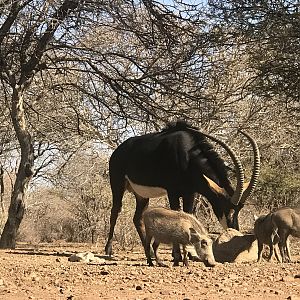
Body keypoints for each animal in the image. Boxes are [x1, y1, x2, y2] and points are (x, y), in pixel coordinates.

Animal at [105, 120, 260, 256]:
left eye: (239, 209)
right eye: (227, 208)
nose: (235, 231)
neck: (188, 155)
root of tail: (117, 151)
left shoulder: (190, 193)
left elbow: (188, 214)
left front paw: (189, 251)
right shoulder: (172, 191)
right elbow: (177, 215)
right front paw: (176, 253)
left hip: (142, 195)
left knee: (137, 219)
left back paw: (149, 252)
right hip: (117, 184)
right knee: (115, 211)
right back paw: (108, 250)